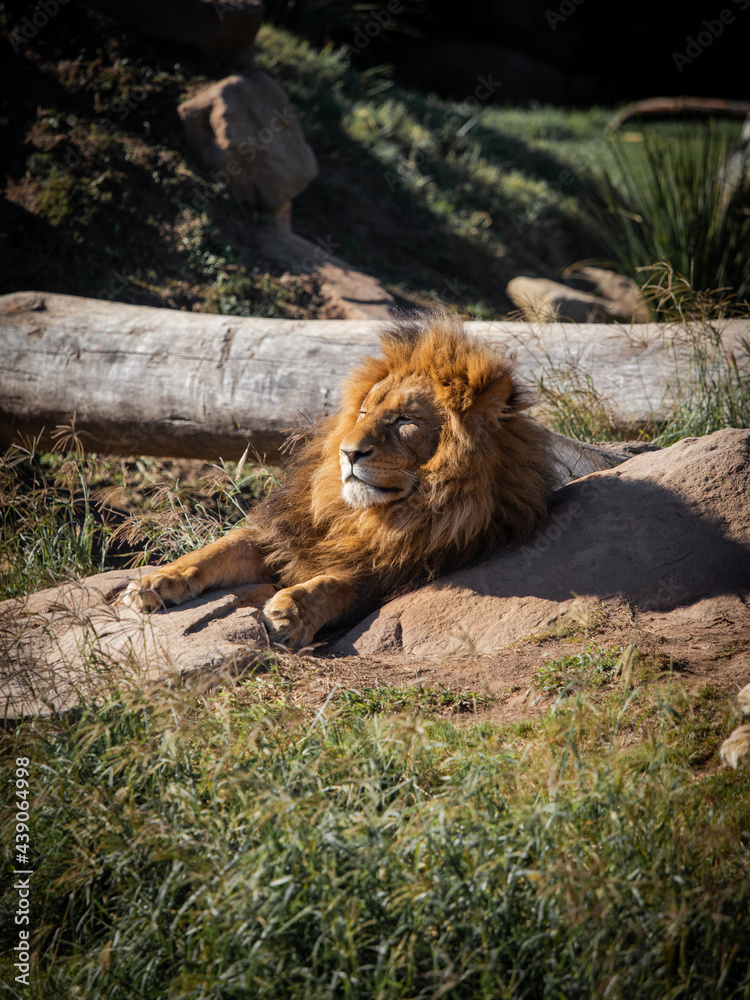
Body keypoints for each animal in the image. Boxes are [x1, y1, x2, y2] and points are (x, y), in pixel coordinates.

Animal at [123, 312, 555, 647]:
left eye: (405, 420)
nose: (348, 453)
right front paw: (155, 581)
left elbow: (337, 587)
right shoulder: (285, 534)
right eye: (364, 412)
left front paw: (293, 611)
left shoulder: (392, 574)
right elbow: (217, 550)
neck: (365, 517)